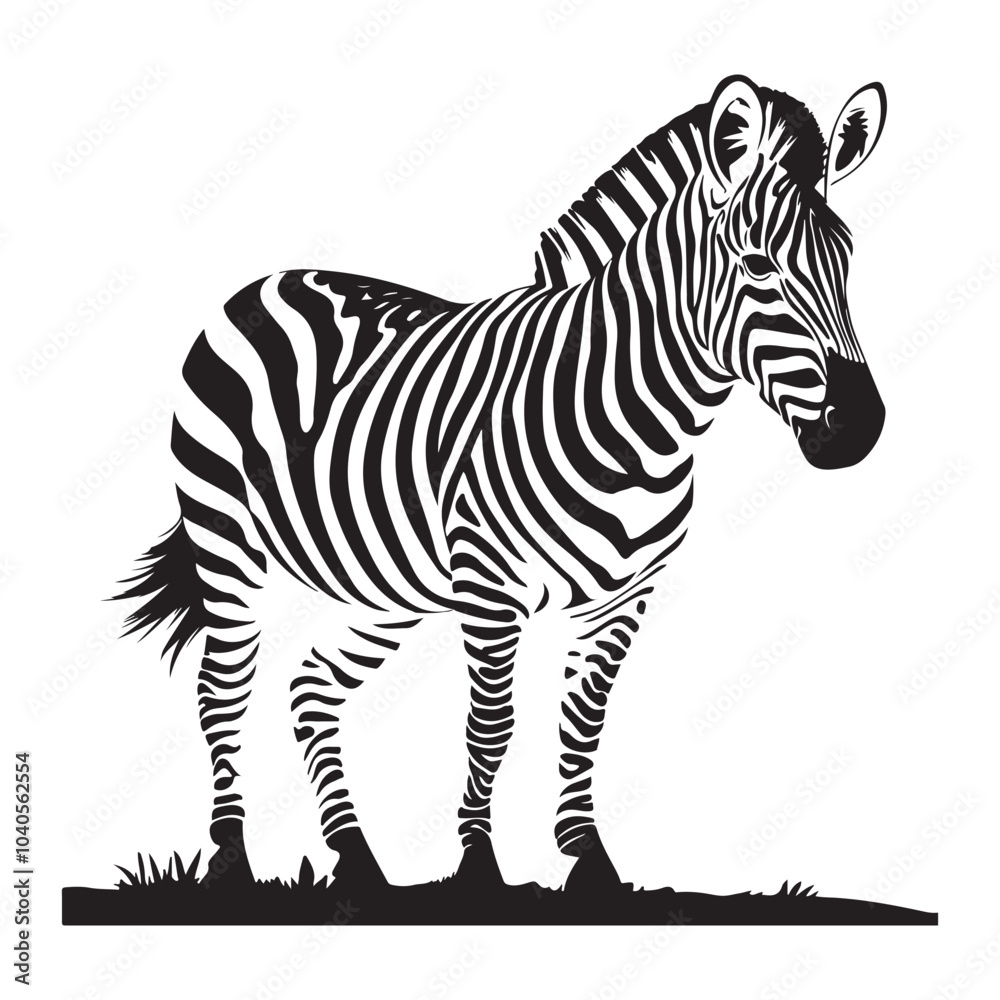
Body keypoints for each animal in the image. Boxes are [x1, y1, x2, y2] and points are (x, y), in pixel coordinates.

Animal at [115, 75, 887, 896]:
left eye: (847, 260)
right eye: (758, 265)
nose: (859, 426)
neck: (631, 418)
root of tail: (263, 283)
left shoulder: (623, 599)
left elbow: (582, 725)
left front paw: (587, 860)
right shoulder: (488, 588)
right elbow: (492, 726)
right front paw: (478, 866)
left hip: (390, 582)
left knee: (312, 686)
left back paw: (357, 859)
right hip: (226, 542)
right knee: (223, 691)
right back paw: (231, 861)